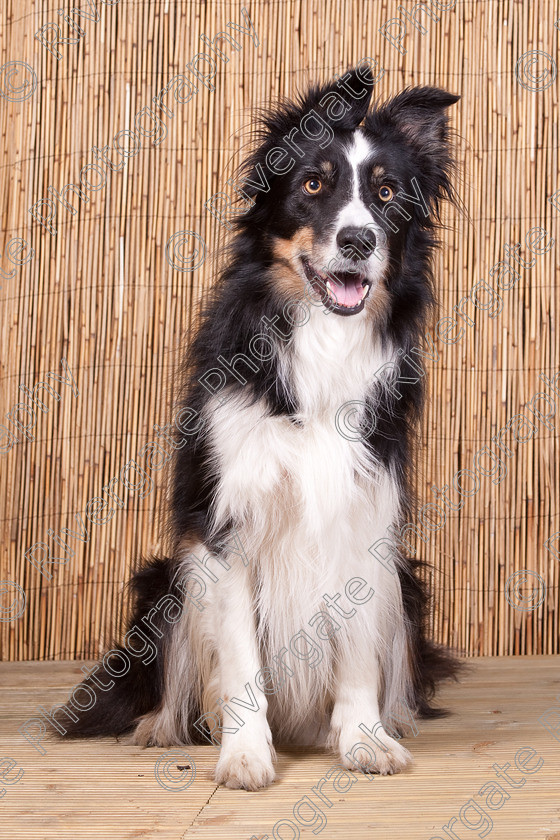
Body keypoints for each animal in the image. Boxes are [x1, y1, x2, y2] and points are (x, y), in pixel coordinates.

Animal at [57, 64, 462, 788]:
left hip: (407, 583)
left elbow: (358, 653)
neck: (321, 339)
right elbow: (240, 658)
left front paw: (363, 739)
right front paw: (244, 753)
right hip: (166, 578)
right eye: (312, 185)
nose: (358, 240)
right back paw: (164, 728)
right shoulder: (226, 530)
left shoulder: (363, 520)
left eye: (386, 193)